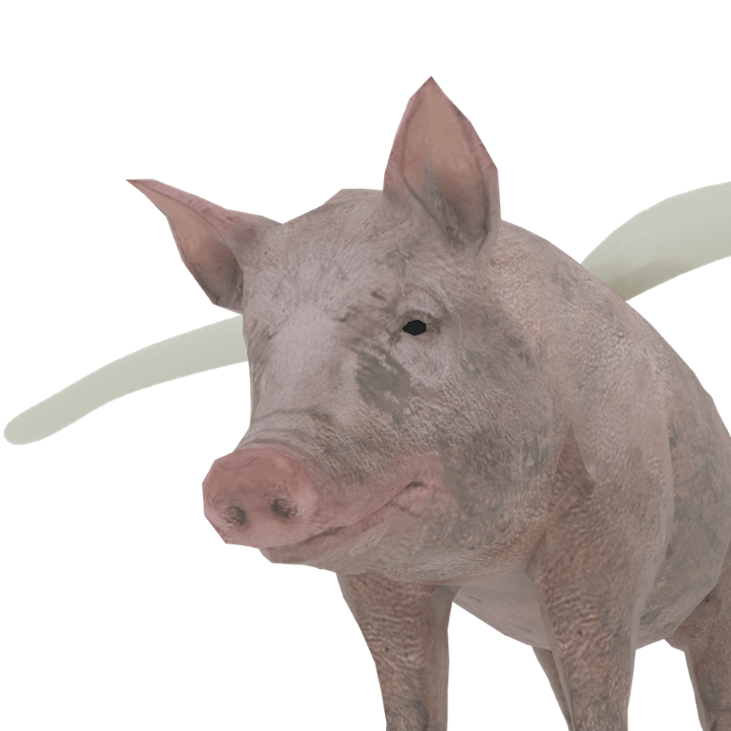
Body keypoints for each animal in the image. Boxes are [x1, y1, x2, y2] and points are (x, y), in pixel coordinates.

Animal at [126, 77, 731, 731]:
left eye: (416, 323)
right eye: (260, 344)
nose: (246, 470)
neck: (484, 566)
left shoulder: (610, 539)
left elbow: (602, 680)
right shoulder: (378, 580)